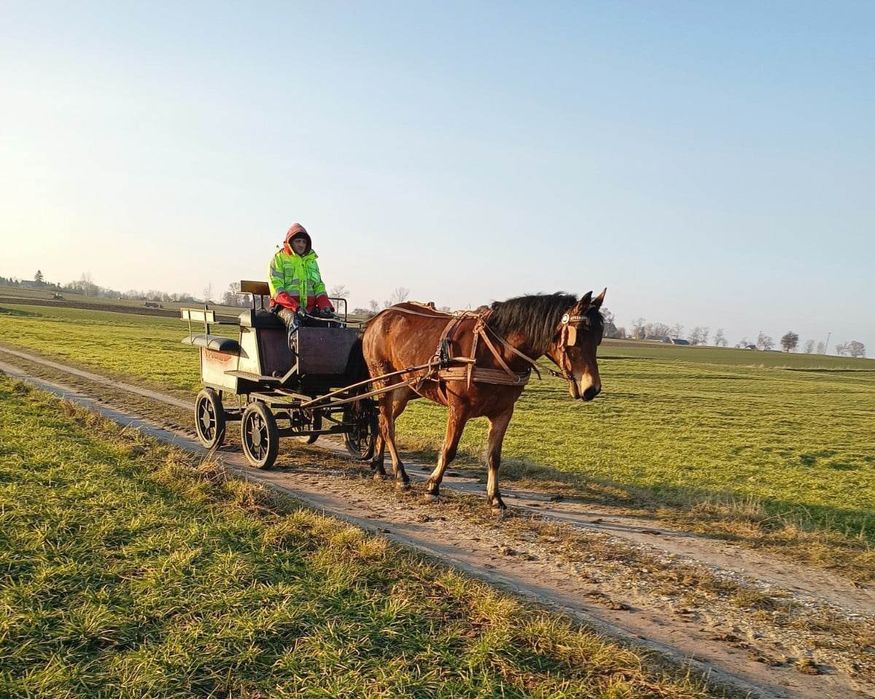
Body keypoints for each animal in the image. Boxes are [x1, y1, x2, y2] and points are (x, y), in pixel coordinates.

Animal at [362, 288, 608, 512]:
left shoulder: (503, 412)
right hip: (383, 381)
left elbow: (494, 456)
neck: (494, 351)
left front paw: (495, 498)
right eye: (578, 337)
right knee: (388, 426)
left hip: (403, 390)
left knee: (383, 422)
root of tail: (380, 316)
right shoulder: (458, 409)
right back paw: (400, 473)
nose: (592, 388)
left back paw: (380, 467)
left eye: (598, 338)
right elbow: (449, 449)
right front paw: (433, 486)